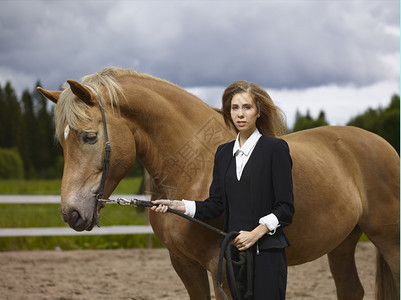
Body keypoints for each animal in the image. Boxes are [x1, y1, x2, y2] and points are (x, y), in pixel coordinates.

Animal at [36, 67, 396, 298]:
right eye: (62, 143)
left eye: (89, 136)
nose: (71, 214)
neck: (194, 165)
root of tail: (385, 146)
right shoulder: (185, 265)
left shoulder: (222, 266)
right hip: (343, 243)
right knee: (351, 290)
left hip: (388, 239)